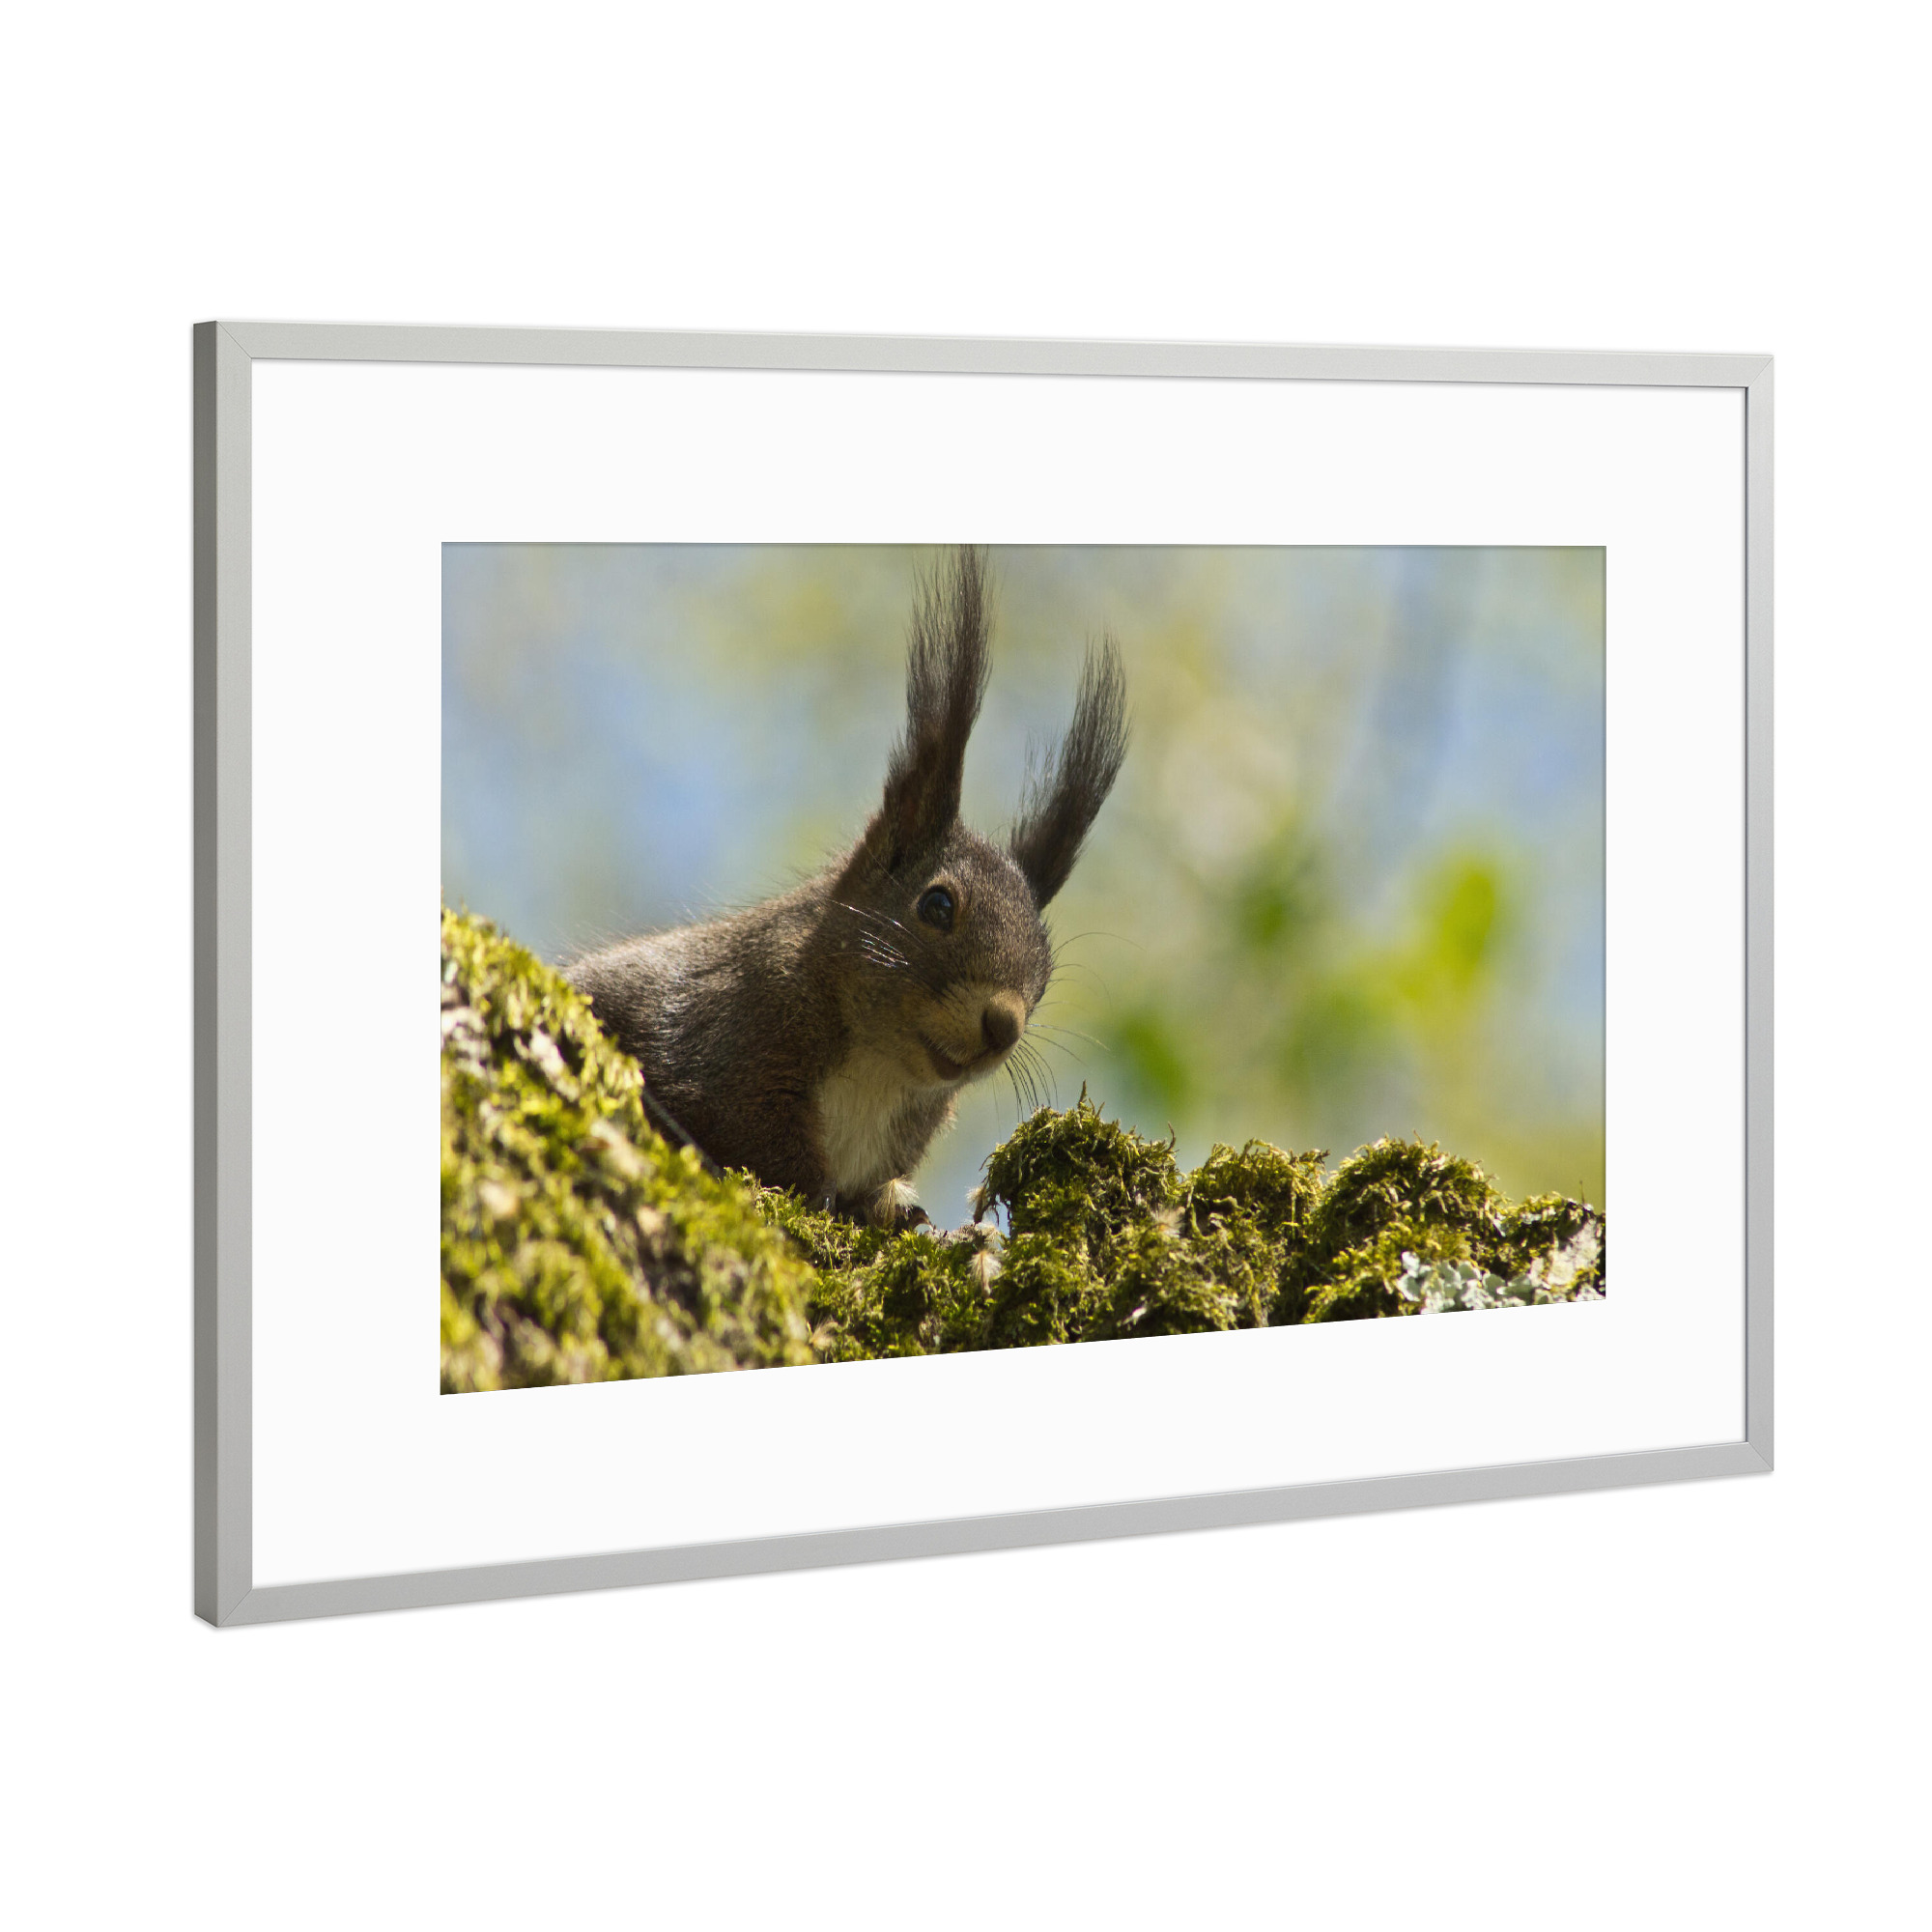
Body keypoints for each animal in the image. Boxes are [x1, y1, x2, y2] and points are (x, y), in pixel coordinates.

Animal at [565, 546, 1128, 1227]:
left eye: (1046, 975)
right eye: (937, 904)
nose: (1004, 1026)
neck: (880, 1071)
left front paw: (896, 1207)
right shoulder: (728, 1035)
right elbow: (747, 1134)